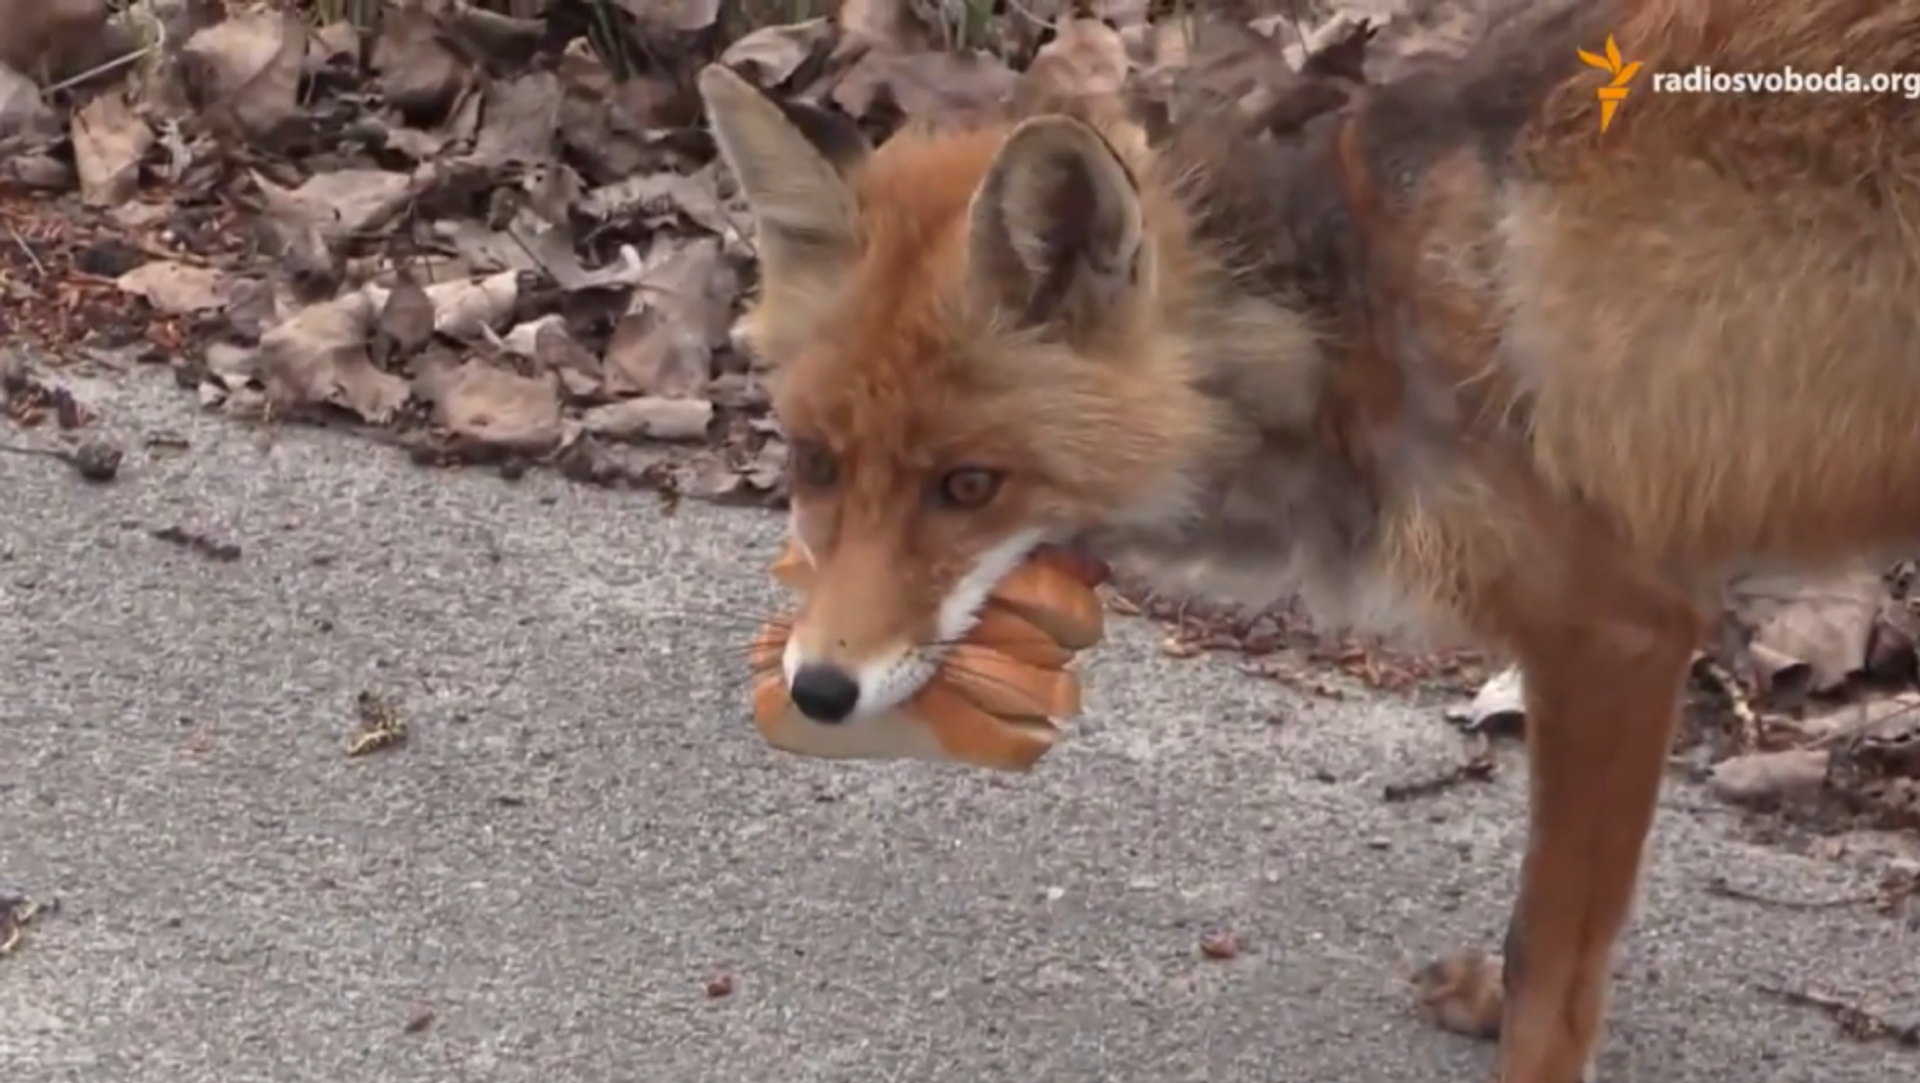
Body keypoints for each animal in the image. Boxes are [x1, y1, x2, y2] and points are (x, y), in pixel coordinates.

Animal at [698, 2, 1920, 1075]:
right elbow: (1535, 940)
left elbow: (1553, 962)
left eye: (968, 485)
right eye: (813, 462)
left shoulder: (1618, 630)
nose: (818, 691)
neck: (1353, 327)